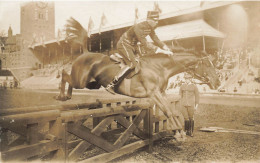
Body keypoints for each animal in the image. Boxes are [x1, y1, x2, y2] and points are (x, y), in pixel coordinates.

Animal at [55, 17, 220, 140]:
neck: (159, 68)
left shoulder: (161, 93)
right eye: (208, 64)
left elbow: (170, 111)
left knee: (69, 79)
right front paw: (179, 133)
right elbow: (167, 110)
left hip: (92, 84)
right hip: (81, 81)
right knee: (65, 74)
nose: (217, 82)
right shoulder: (154, 93)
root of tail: (85, 52)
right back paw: (61, 96)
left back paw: (67, 96)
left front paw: (177, 131)